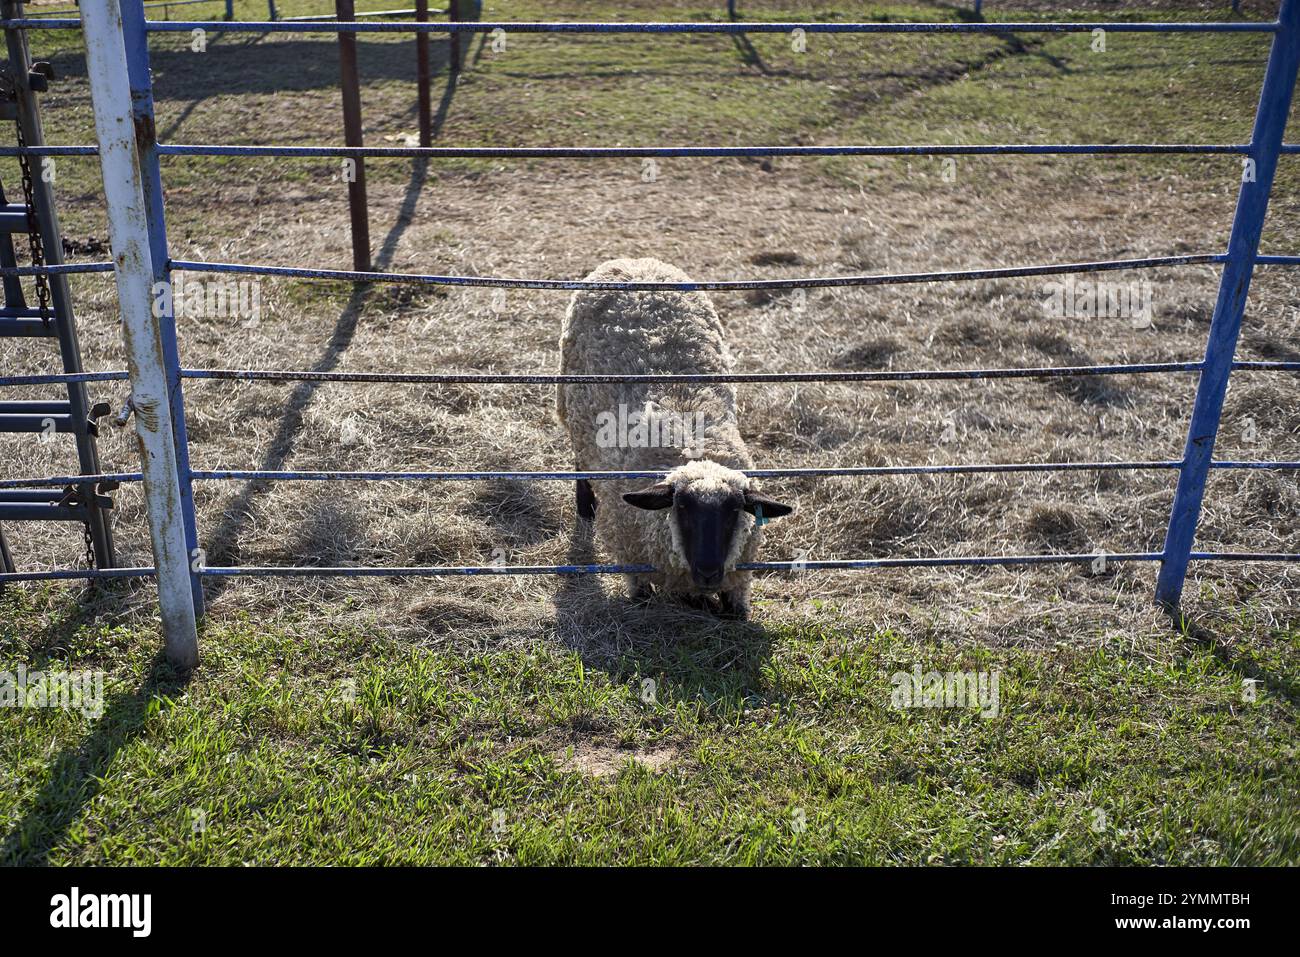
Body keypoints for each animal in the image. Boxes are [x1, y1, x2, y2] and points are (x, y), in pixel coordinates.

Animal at [557, 257, 792, 618]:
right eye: (681, 507)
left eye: (734, 511)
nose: (708, 572)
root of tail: (633, 261)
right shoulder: (635, 558)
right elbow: (642, 596)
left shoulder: (737, 579)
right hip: (573, 414)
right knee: (581, 465)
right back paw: (586, 509)